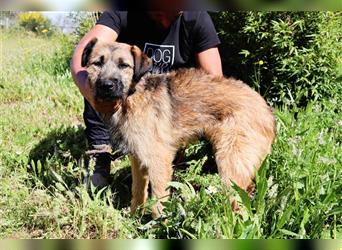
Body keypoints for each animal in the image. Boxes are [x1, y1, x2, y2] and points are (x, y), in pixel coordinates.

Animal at [81, 38, 276, 218]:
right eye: (97, 63)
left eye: (124, 65)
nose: (107, 85)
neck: (131, 97)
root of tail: (266, 109)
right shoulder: (137, 159)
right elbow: (138, 191)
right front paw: (134, 216)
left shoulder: (159, 160)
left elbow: (158, 200)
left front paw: (158, 225)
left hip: (231, 164)